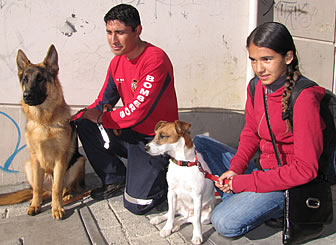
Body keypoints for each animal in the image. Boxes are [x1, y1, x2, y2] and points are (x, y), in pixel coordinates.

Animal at [0, 45, 85, 219]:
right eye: (25, 80)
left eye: (40, 79)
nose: (27, 96)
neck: (44, 123)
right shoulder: (35, 158)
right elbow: (38, 188)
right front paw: (35, 205)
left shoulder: (60, 159)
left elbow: (57, 187)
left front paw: (57, 208)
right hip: (29, 165)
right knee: (42, 190)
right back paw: (37, 200)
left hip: (79, 162)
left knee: (62, 187)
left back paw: (66, 196)